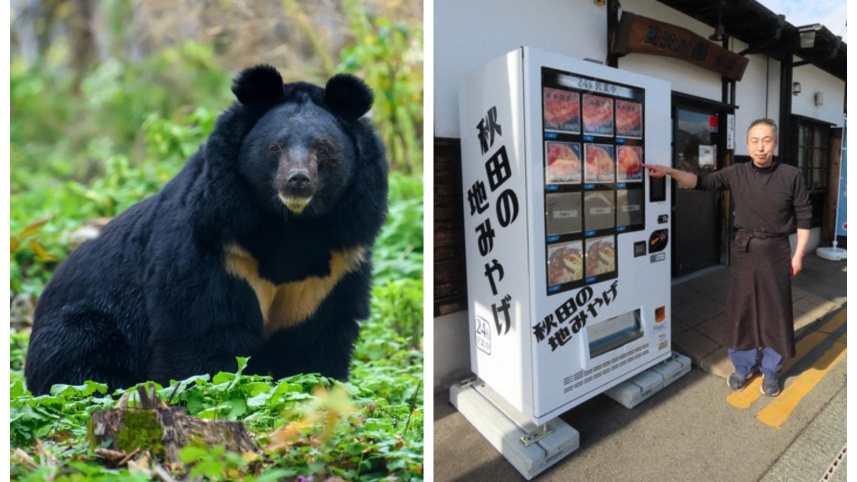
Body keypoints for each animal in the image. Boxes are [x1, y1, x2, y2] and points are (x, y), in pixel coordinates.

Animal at [24, 65, 389, 396]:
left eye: (323, 148)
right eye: (275, 147)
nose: (297, 180)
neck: (291, 225)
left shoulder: (333, 269)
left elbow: (317, 340)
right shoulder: (216, 247)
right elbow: (202, 331)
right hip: (86, 326)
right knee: (83, 368)